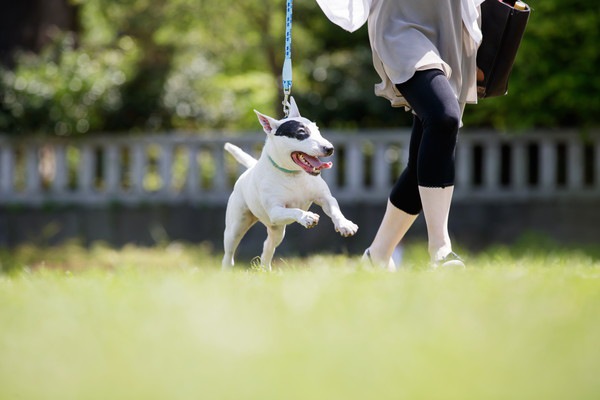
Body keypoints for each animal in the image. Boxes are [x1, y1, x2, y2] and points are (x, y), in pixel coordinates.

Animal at [223, 97, 358, 268]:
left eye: (317, 129)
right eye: (301, 133)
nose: (329, 148)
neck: (293, 174)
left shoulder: (325, 198)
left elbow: (334, 208)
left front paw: (345, 225)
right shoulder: (275, 211)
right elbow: (294, 210)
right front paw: (307, 217)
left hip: (277, 229)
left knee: (268, 245)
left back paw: (265, 268)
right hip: (237, 225)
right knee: (229, 251)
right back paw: (227, 268)